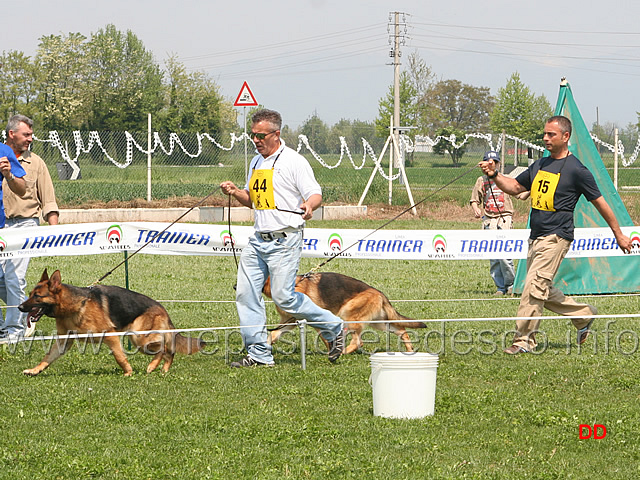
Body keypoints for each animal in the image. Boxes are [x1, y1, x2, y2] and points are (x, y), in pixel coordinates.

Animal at [19, 270, 205, 376]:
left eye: (37, 296)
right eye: (30, 294)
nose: (20, 307)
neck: (75, 305)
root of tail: (162, 308)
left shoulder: (110, 335)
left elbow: (119, 357)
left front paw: (128, 372)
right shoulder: (63, 341)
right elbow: (47, 357)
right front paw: (35, 370)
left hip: (139, 338)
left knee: (164, 349)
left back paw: (152, 367)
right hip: (140, 340)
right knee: (168, 351)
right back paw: (164, 369)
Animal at [262, 272, 428, 354]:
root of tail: (380, 294)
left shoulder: (317, 320)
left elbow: (326, 337)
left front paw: (333, 350)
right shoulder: (290, 322)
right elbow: (273, 335)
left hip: (349, 314)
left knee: (358, 341)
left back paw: (344, 352)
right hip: (379, 322)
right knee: (402, 330)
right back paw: (409, 350)